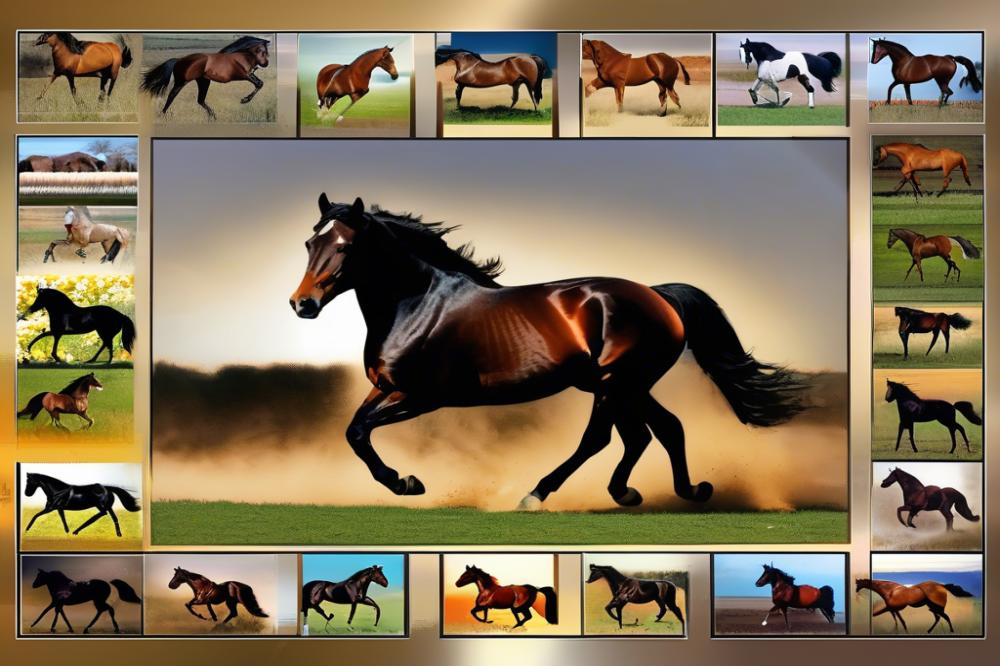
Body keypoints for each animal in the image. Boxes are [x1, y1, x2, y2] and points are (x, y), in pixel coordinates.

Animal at [141, 36, 270, 119]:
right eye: (262, 51)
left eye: (266, 52)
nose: (266, 64)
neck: (241, 57)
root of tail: (179, 60)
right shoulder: (244, 75)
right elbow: (259, 83)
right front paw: (245, 100)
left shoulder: (250, 74)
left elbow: (260, 83)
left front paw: (245, 99)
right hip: (181, 82)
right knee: (171, 97)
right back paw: (162, 115)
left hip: (203, 81)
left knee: (200, 100)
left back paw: (213, 116)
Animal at [290, 196, 806, 510]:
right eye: (311, 241)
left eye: (346, 245)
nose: (302, 304)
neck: (417, 302)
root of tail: (659, 294)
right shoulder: (386, 388)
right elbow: (355, 430)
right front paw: (405, 482)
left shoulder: (422, 397)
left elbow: (360, 432)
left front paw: (405, 482)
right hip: (624, 385)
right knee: (659, 430)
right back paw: (677, 491)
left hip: (614, 383)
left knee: (605, 439)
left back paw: (538, 495)